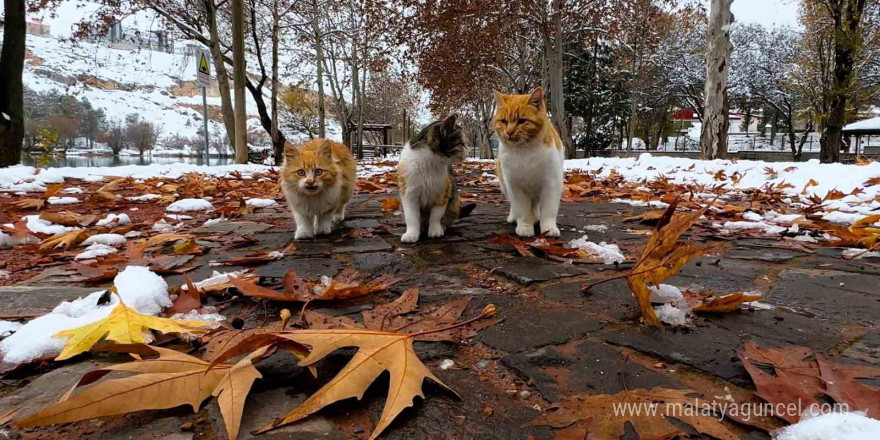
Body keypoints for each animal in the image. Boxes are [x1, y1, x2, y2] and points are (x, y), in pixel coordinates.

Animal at [496, 87, 564, 237]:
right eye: (504, 121)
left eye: (521, 121)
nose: (509, 132)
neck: (525, 152)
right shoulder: (516, 186)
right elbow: (522, 210)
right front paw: (525, 227)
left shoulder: (551, 184)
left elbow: (549, 211)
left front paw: (549, 228)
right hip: (505, 185)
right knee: (514, 205)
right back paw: (514, 217)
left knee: (535, 204)